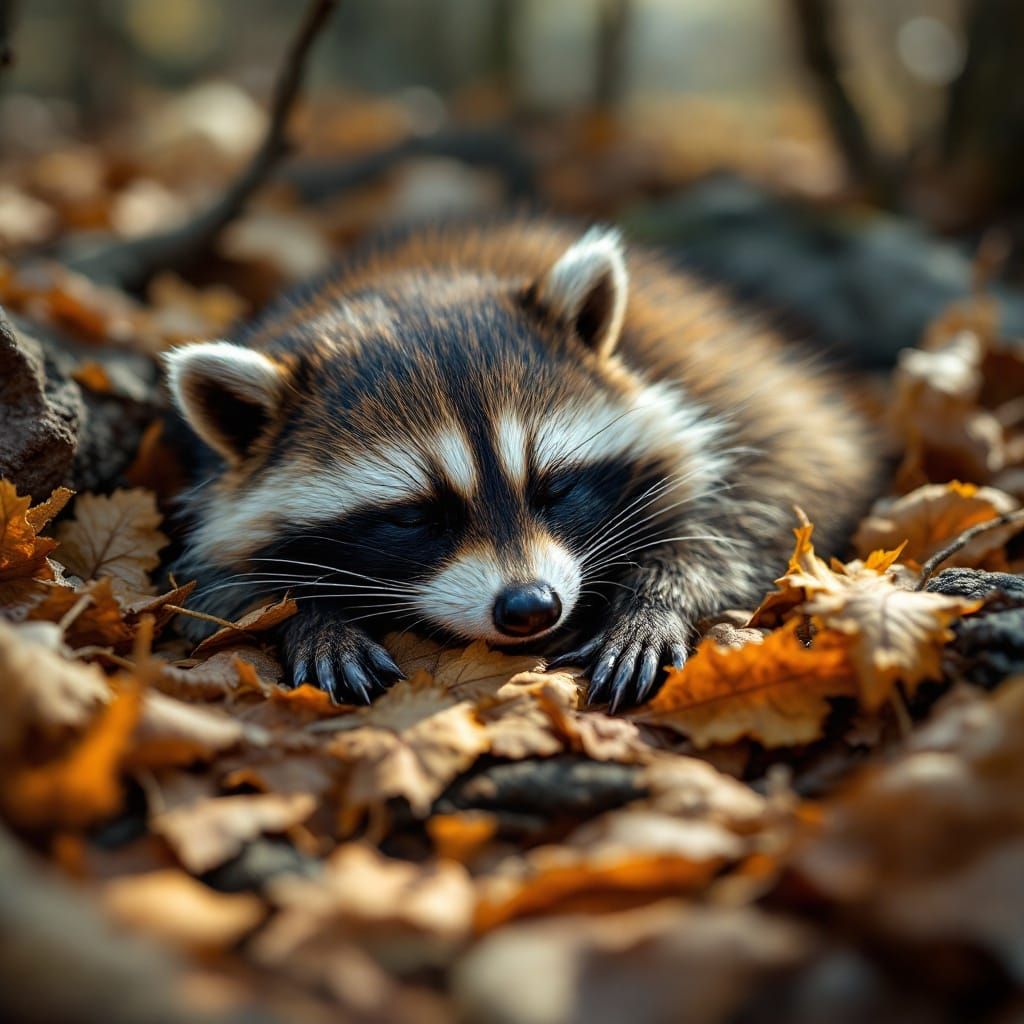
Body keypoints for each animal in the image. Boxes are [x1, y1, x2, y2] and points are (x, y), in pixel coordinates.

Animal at [166, 219, 878, 710]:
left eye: (555, 487)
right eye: (414, 517)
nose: (531, 607)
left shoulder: (717, 383)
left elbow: (789, 479)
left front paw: (655, 596)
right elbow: (217, 584)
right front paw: (313, 618)